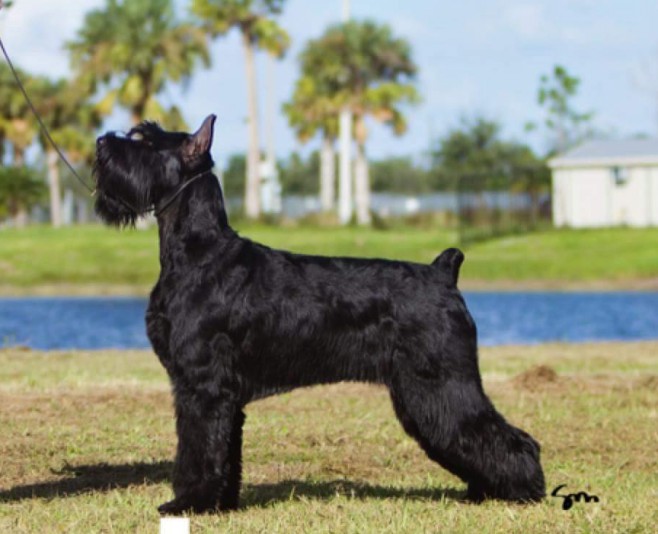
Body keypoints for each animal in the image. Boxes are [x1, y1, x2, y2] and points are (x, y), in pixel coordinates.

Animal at [92, 116, 544, 516]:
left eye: (146, 141)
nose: (100, 142)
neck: (199, 252)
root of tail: (443, 271)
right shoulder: (224, 394)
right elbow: (224, 451)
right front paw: (223, 504)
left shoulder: (203, 387)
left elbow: (198, 449)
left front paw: (188, 504)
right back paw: (484, 492)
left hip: (442, 383)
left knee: (504, 437)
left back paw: (524, 492)